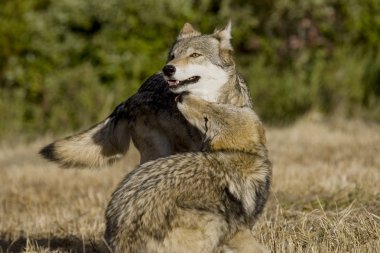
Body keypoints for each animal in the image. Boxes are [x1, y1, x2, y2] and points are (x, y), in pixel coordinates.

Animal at [104, 93, 270, 253]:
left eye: (207, 120)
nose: (181, 96)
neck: (244, 153)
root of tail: (121, 241)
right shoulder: (237, 230)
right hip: (214, 221)